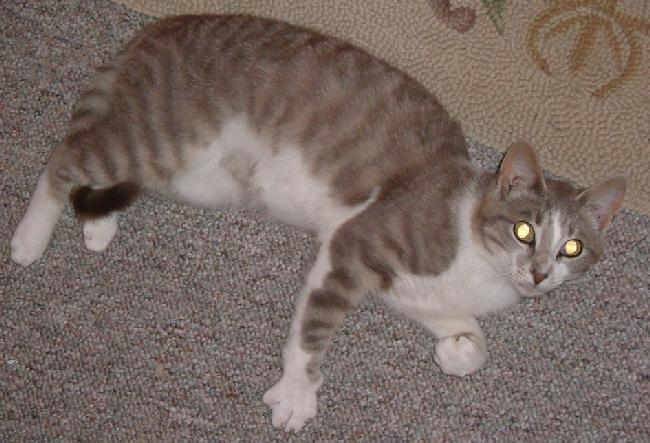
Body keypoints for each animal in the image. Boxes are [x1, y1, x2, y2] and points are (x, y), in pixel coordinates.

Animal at [10, 14, 624, 434]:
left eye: (572, 248)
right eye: (524, 230)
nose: (539, 274)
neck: (480, 259)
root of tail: (160, 26)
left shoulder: (417, 295)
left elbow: (476, 346)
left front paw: (456, 354)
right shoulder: (354, 244)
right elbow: (312, 332)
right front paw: (296, 394)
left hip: (190, 173)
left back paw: (99, 227)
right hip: (166, 136)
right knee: (66, 156)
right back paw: (30, 238)